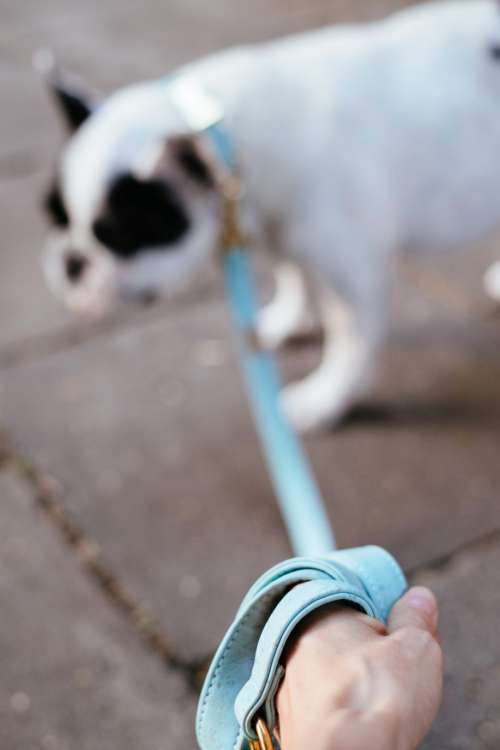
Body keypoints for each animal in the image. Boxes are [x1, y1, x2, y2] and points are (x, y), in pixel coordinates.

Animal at [41, 1, 500, 434]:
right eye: (54, 215)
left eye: (119, 235)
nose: (71, 261)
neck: (234, 133)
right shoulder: (280, 230)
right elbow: (291, 271)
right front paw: (288, 322)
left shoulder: (353, 274)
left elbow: (348, 338)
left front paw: (324, 400)